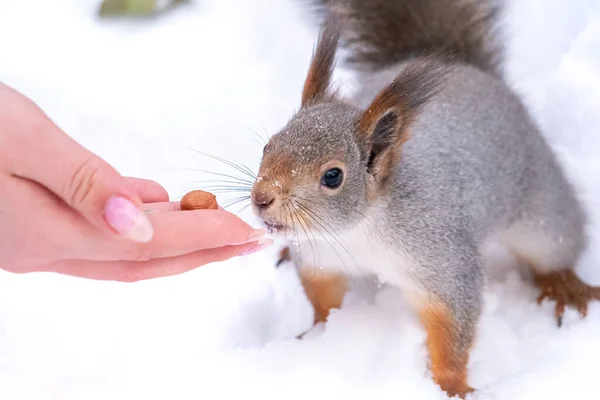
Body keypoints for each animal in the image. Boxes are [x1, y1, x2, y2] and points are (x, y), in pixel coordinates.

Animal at [246, 0, 596, 396]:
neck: (358, 230)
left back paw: (564, 287)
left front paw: (451, 386)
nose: (261, 198)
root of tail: (468, 69)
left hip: (541, 212)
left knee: (557, 244)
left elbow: (452, 324)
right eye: (268, 146)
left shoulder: (444, 261)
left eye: (332, 176)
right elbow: (324, 298)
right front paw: (317, 333)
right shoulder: (320, 258)